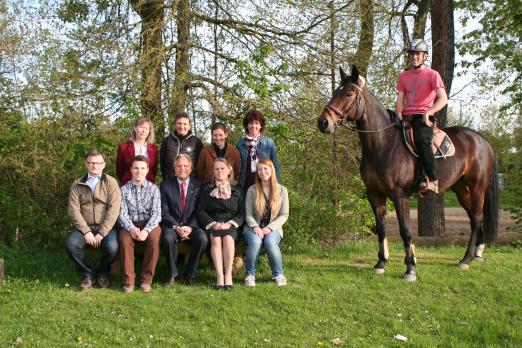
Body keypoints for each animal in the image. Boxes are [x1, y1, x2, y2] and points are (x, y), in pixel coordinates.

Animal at [314, 65, 498, 282]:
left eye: (349, 93)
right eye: (335, 92)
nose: (323, 122)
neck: (383, 145)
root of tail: (482, 140)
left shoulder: (399, 196)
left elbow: (405, 231)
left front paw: (410, 268)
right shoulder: (374, 195)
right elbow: (381, 229)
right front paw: (381, 263)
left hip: (477, 186)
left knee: (477, 218)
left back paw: (466, 259)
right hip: (461, 189)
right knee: (474, 218)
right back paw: (477, 253)